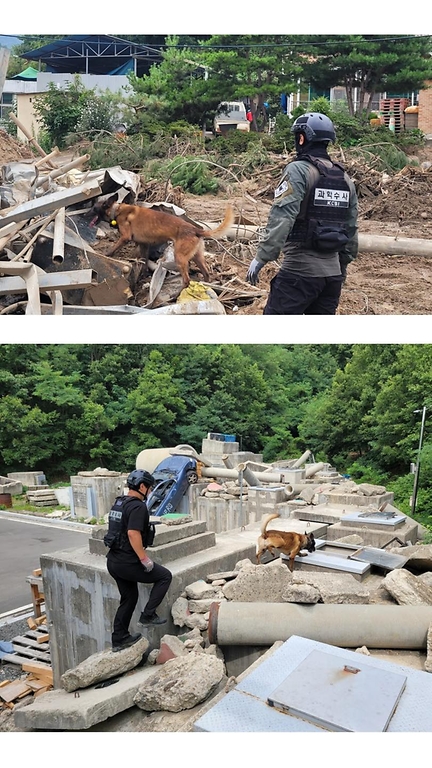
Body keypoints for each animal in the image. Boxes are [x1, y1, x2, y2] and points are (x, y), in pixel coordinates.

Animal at [89, 192, 235, 288]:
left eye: (94, 208)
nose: (85, 214)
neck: (116, 210)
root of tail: (195, 229)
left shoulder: (125, 238)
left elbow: (113, 248)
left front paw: (106, 254)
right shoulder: (144, 245)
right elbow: (144, 262)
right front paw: (143, 275)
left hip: (180, 257)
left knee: (187, 279)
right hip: (197, 257)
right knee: (206, 273)